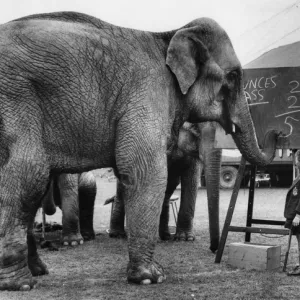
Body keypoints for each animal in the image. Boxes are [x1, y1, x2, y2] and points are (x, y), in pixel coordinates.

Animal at [106, 122, 221, 251]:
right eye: (196, 127)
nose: (212, 249)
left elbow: (191, 175)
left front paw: (185, 238)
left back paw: (165, 236)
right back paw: (117, 234)